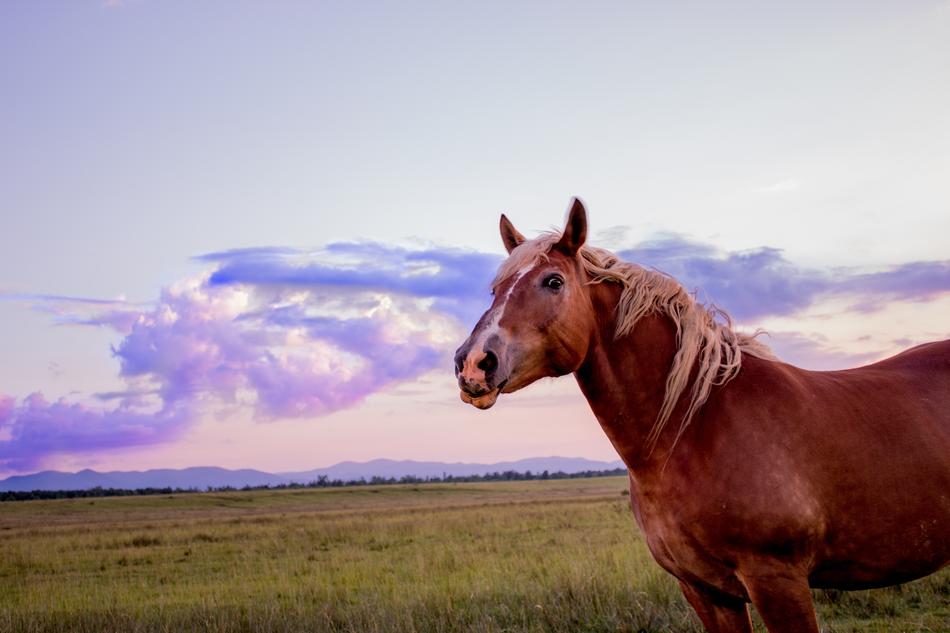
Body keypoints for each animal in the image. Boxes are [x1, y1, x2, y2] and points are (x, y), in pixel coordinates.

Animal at [453, 198, 950, 632]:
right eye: (496, 290)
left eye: (553, 282)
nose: (473, 363)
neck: (694, 431)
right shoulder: (706, 591)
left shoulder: (778, 582)